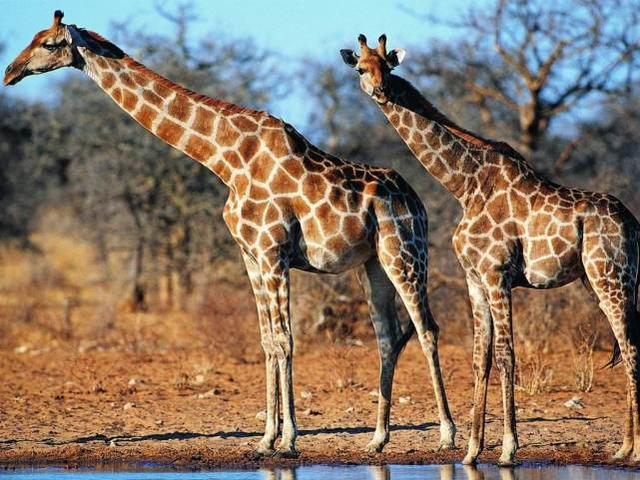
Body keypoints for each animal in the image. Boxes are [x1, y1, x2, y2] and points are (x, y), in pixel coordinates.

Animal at [3, 10, 456, 454]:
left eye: (48, 43)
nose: (10, 71)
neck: (226, 159)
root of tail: (418, 202)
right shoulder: (251, 255)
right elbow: (268, 341)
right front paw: (265, 439)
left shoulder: (273, 253)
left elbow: (286, 339)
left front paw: (289, 438)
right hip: (373, 264)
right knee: (387, 336)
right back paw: (377, 438)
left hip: (406, 255)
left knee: (427, 328)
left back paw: (447, 435)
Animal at [342, 34, 640, 464]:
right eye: (362, 68)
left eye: (388, 67)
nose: (381, 91)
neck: (465, 185)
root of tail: (633, 224)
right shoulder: (474, 278)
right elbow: (479, 357)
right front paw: (471, 450)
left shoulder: (497, 274)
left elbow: (505, 354)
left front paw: (509, 448)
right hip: (600, 281)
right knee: (628, 341)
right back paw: (624, 447)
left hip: (611, 277)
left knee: (630, 346)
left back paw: (631, 448)